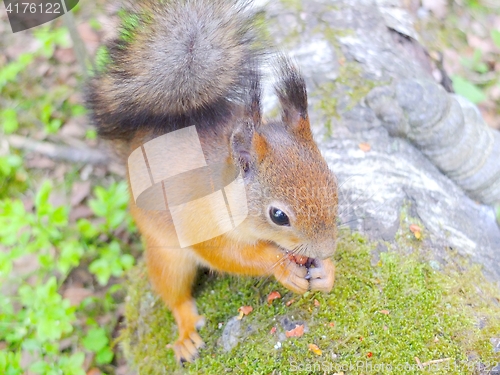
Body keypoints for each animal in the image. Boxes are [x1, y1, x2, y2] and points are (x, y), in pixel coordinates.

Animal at [86, 0, 338, 364]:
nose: (328, 250)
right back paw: (186, 331)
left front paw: (326, 270)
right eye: (278, 216)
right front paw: (280, 267)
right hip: (166, 254)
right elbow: (228, 255)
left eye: (334, 185)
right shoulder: (197, 222)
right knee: (173, 292)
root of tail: (136, 147)